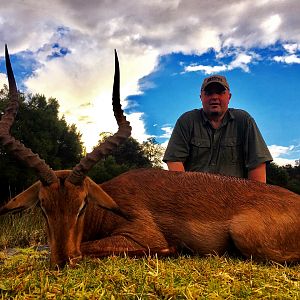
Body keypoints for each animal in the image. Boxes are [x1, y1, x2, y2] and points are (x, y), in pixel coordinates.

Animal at [0, 45, 300, 268]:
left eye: (82, 204)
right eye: (43, 206)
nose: (62, 262)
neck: (108, 205)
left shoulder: (142, 237)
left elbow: (87, 247)